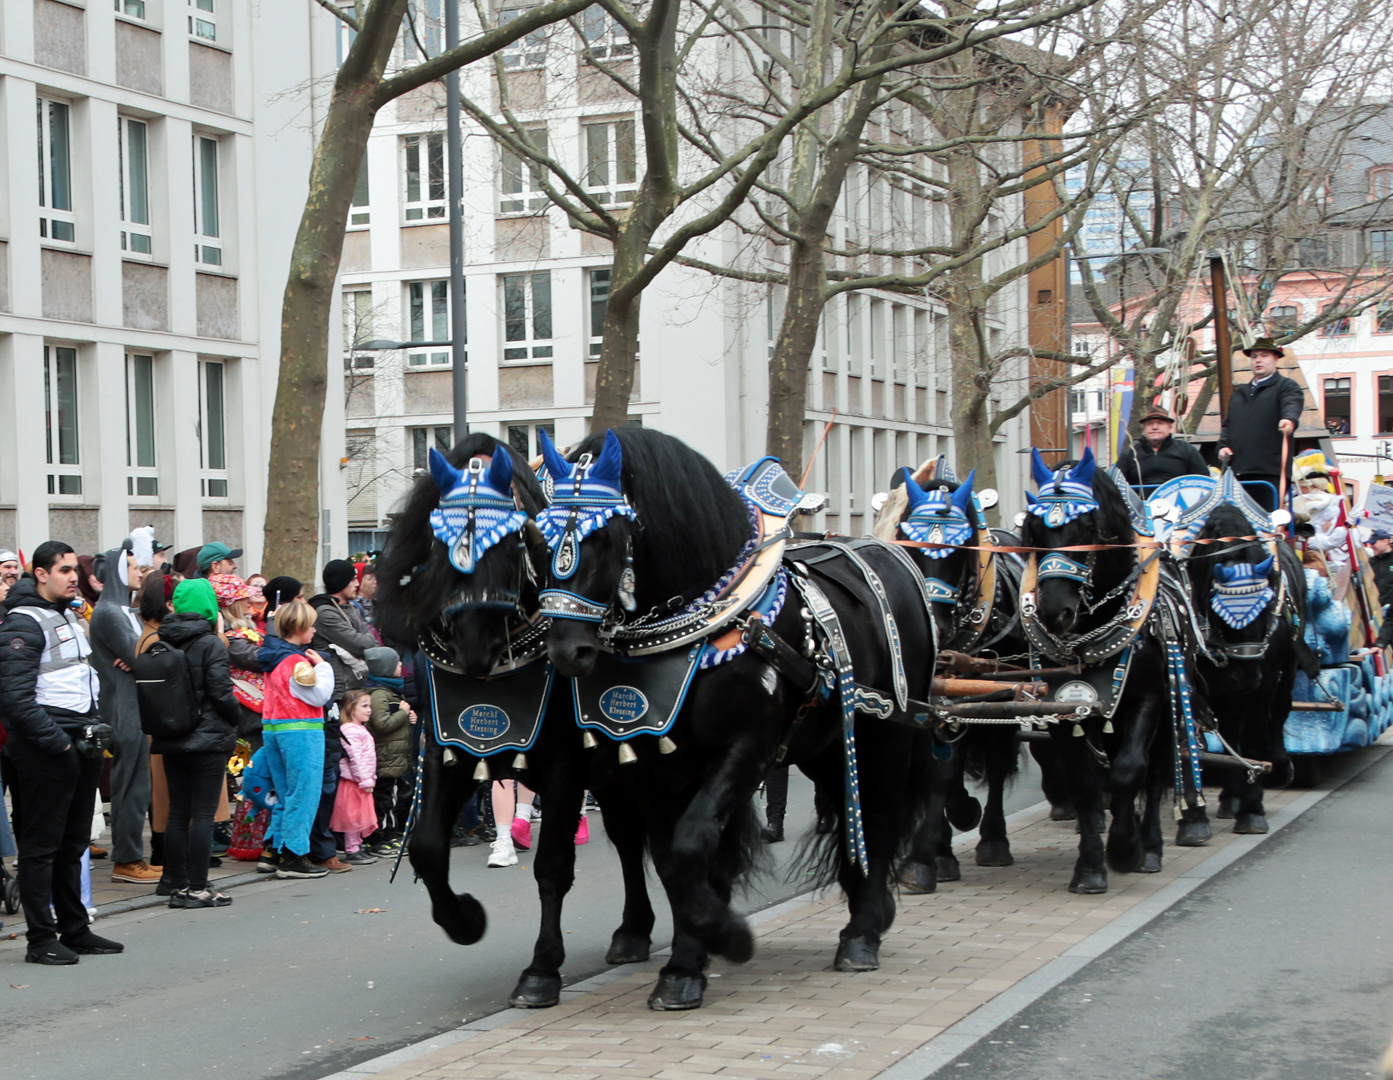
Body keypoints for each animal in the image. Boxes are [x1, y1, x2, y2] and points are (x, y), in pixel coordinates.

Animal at [376, 434, 657, 1008]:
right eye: (437, 544)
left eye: (514, 541)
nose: (474, 646)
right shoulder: (448, 749)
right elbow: (427, 848)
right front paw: (464, 920)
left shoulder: (565, 768)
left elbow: (552, 867)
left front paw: (541, 970)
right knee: (625, 836)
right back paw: (633, 930)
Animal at [537, 426, 941, 1008]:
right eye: (539, 536)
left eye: (607, 535)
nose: (567, 650)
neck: (701, 628)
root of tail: (889, 554)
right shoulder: (653, 766)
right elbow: (671, 859)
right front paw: (687, 963)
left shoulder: (746, 751)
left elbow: (691, 846)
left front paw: (726, 937)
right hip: (823, 747)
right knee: (848, 812)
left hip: (885, 734)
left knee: (879, 816)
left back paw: (863, 932)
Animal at [1025, 448, 1175, 897]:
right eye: (1033, 529)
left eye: (1088, 526)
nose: (1054, 611)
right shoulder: (1063, 711)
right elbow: (1086, 784)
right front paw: (1090, 868)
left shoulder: (1149, 698)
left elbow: (1130, 771)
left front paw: (1125, 849)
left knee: (1155, 772)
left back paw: (1151, 847)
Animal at [1186, 501, 1303, 830]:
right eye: (1218, 614)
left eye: (1268, 609)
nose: (1246, 678)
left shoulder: (1266, 678)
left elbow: (1253, 737)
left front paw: (1252, 811)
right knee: (1230, 726)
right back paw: (1230, 797)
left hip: (1285, 671)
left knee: (1277, 713)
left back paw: (1277, 769)